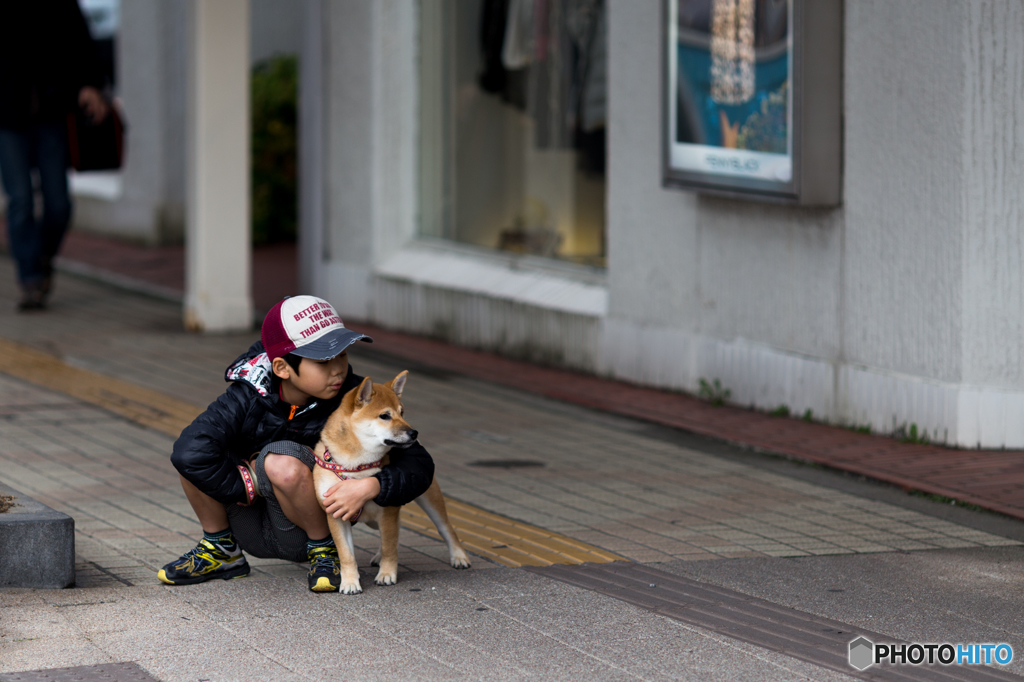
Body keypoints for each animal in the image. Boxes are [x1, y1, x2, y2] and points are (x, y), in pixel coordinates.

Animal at [311, 368, 471, 593]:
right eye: (385, 416)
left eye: (402, 412)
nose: (414, 432)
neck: (356, 467)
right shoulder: (335, 514)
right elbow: (346, 554)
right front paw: (350, 582)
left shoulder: (387, 510)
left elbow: (389, 547)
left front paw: (386, 574)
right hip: (375, 518)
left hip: (427, 497)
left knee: (445, 528)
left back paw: (459, 556)